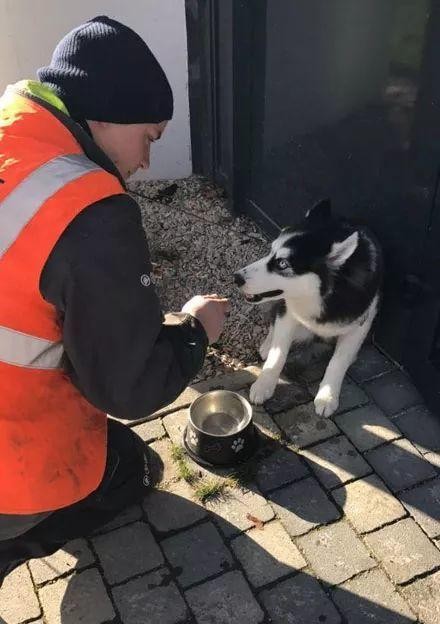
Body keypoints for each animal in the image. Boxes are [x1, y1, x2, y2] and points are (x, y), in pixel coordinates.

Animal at [234, 197, 382, 416]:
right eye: (270, 252)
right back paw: (268, 344)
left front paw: (327, 396)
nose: (236, 278)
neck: (325, 296)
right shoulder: (288, 313)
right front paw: (264, 384)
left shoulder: (361, 324)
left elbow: (338, 361)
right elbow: (278, 353)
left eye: (282, 264)